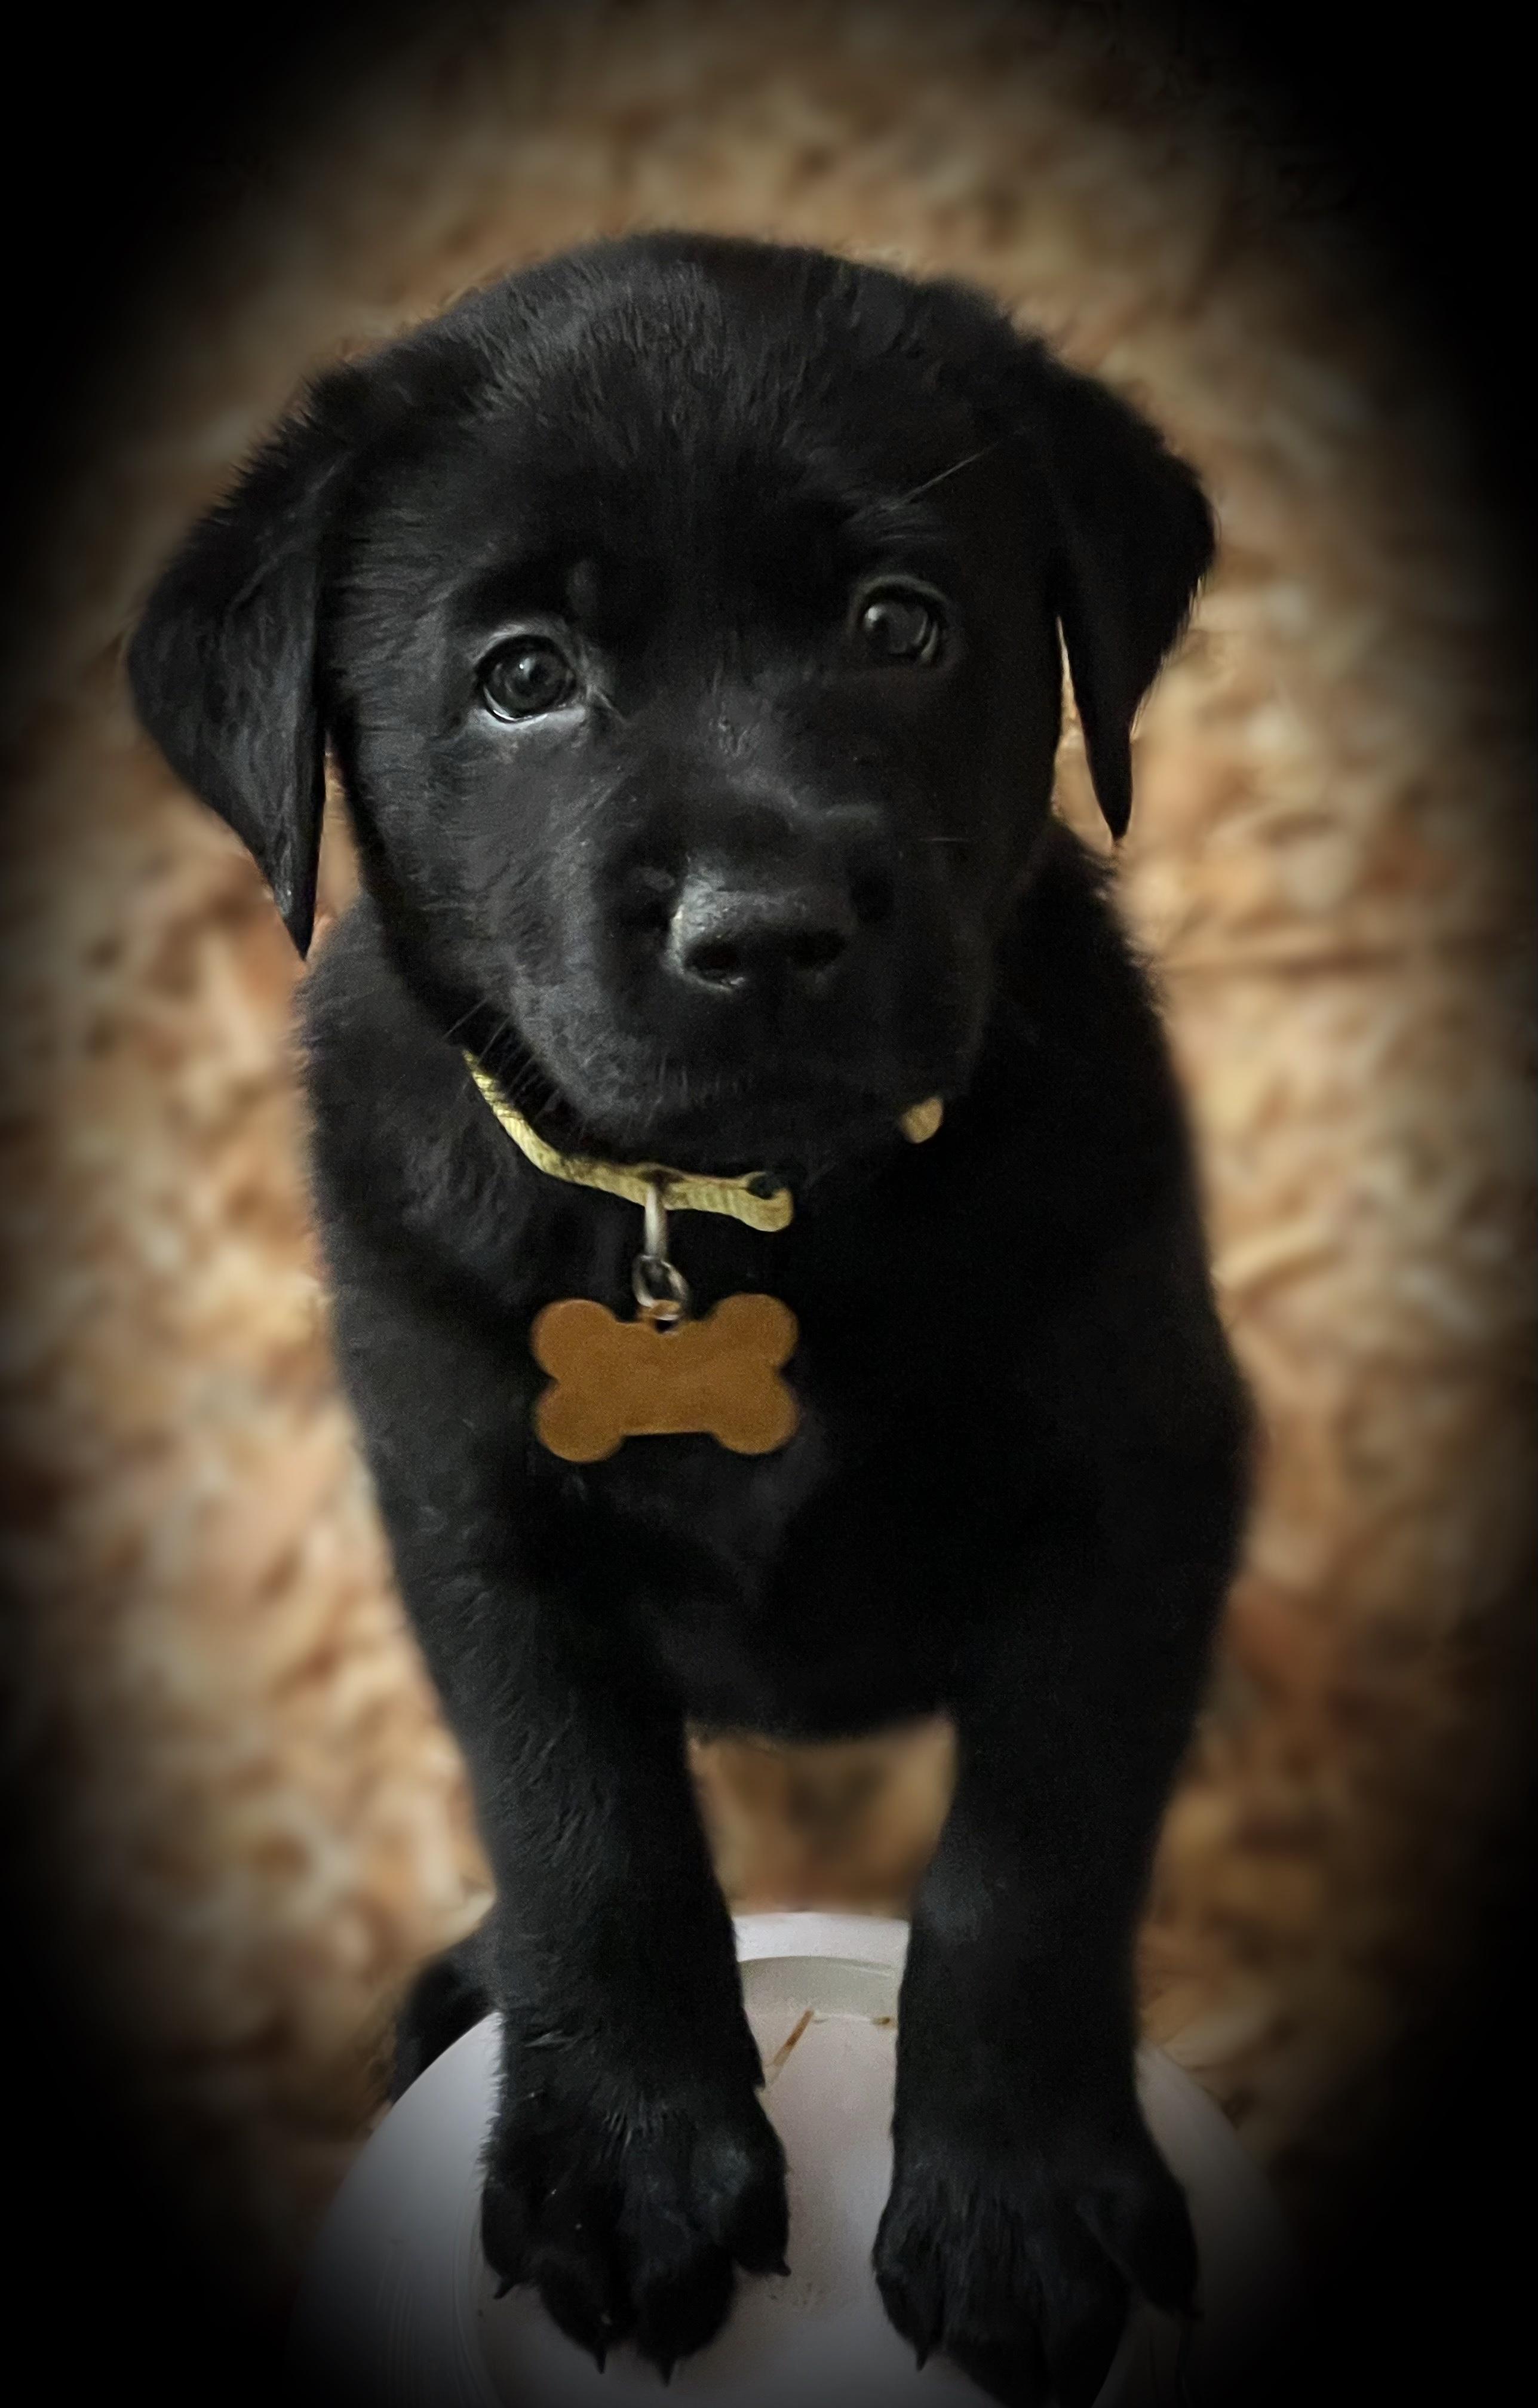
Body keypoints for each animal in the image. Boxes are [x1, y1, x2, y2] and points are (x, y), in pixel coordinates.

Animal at [129, 232, 1251, 2406]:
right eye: (521, 677)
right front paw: (626, 2154)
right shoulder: (466, 1511)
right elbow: (584, 1821)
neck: (727, 1227)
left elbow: (1026, 1855)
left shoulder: (1133, 1489)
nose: (765, 934)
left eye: (900, 625)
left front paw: (1016, 2199)